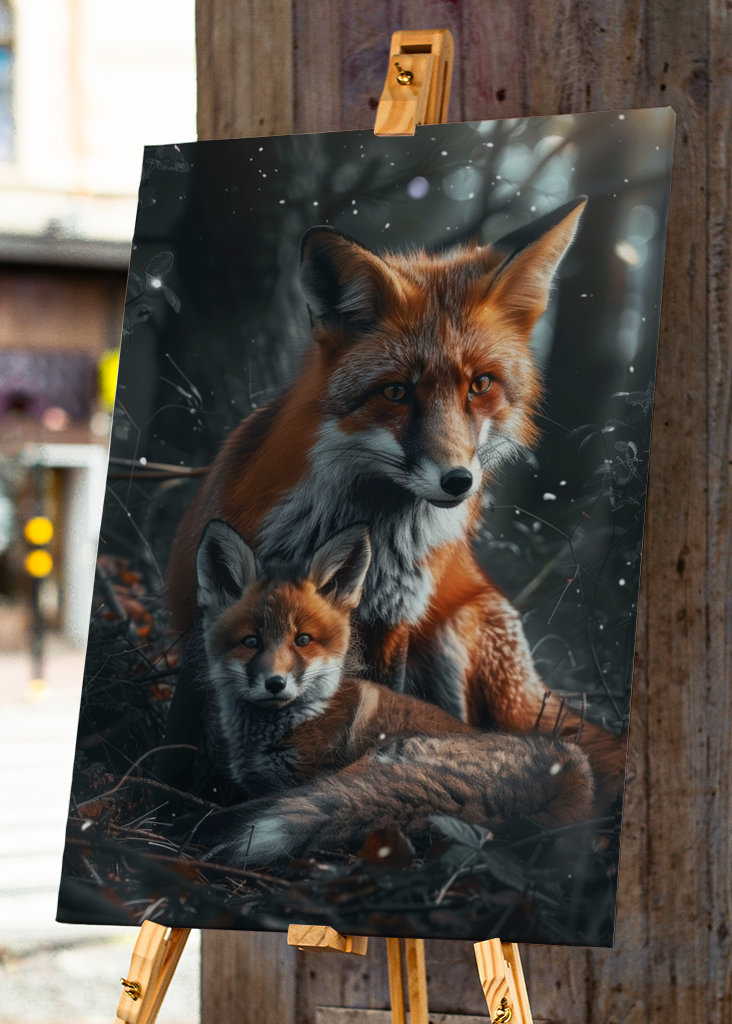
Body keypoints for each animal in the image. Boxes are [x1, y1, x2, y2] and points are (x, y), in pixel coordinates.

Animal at [164, 196, 624, 794]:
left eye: (480, 385)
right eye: (397, 392)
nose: (458, 481)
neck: (366, 527)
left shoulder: (394, 621)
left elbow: (386, 706)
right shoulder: (208, 611)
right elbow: (179, 734)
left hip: (455, 632)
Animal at [190, 517, 594, 864]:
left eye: (302, 640)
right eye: (251, 641)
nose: (276, 683)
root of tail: (568, 776)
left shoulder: (305, 776)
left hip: (374, 762)